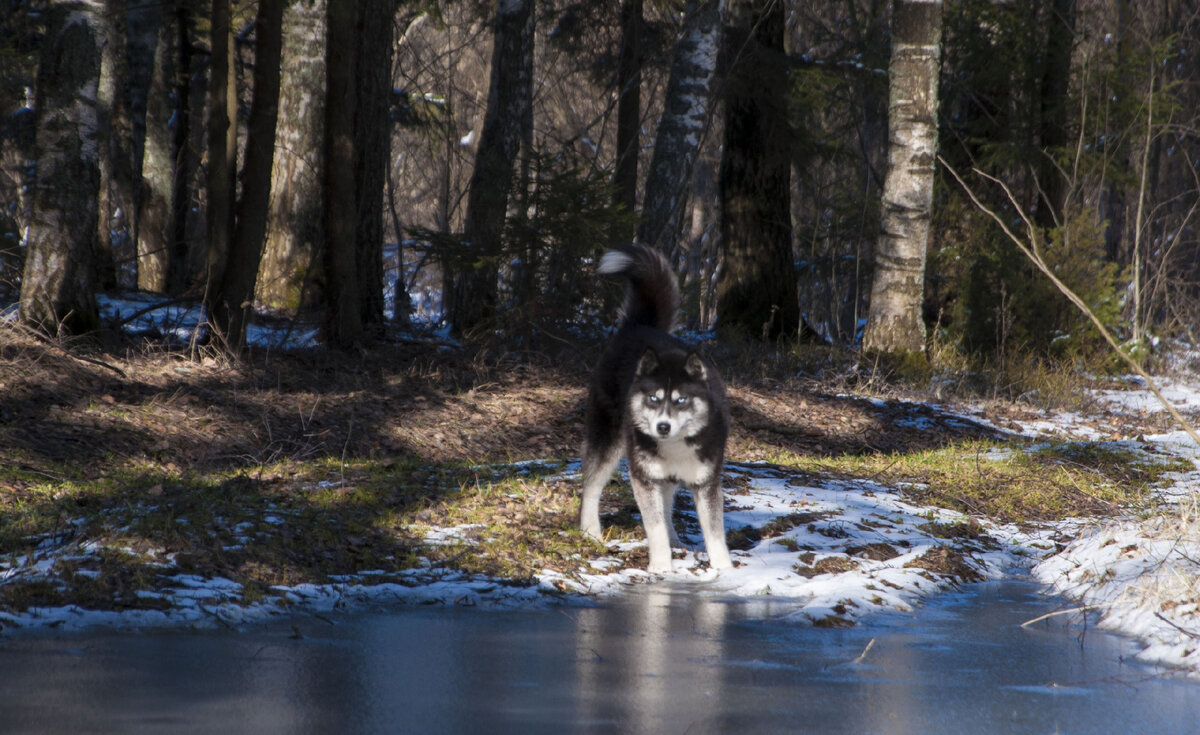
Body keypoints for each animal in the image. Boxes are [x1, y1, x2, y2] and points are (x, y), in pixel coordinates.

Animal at [578, 243, 729, 571]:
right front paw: (661, 566)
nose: (662, 427)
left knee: (668, 502)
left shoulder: (706, 482)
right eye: (654, 398)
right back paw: (590, 532)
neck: (676, 444)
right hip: (609, 441)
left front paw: (725, 570)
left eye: (681, 400)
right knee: (591, 487)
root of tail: (637, 326)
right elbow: (654, 525)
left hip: (667, 475)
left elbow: (715, 534)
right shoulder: (643, 478)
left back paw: (675, 540)